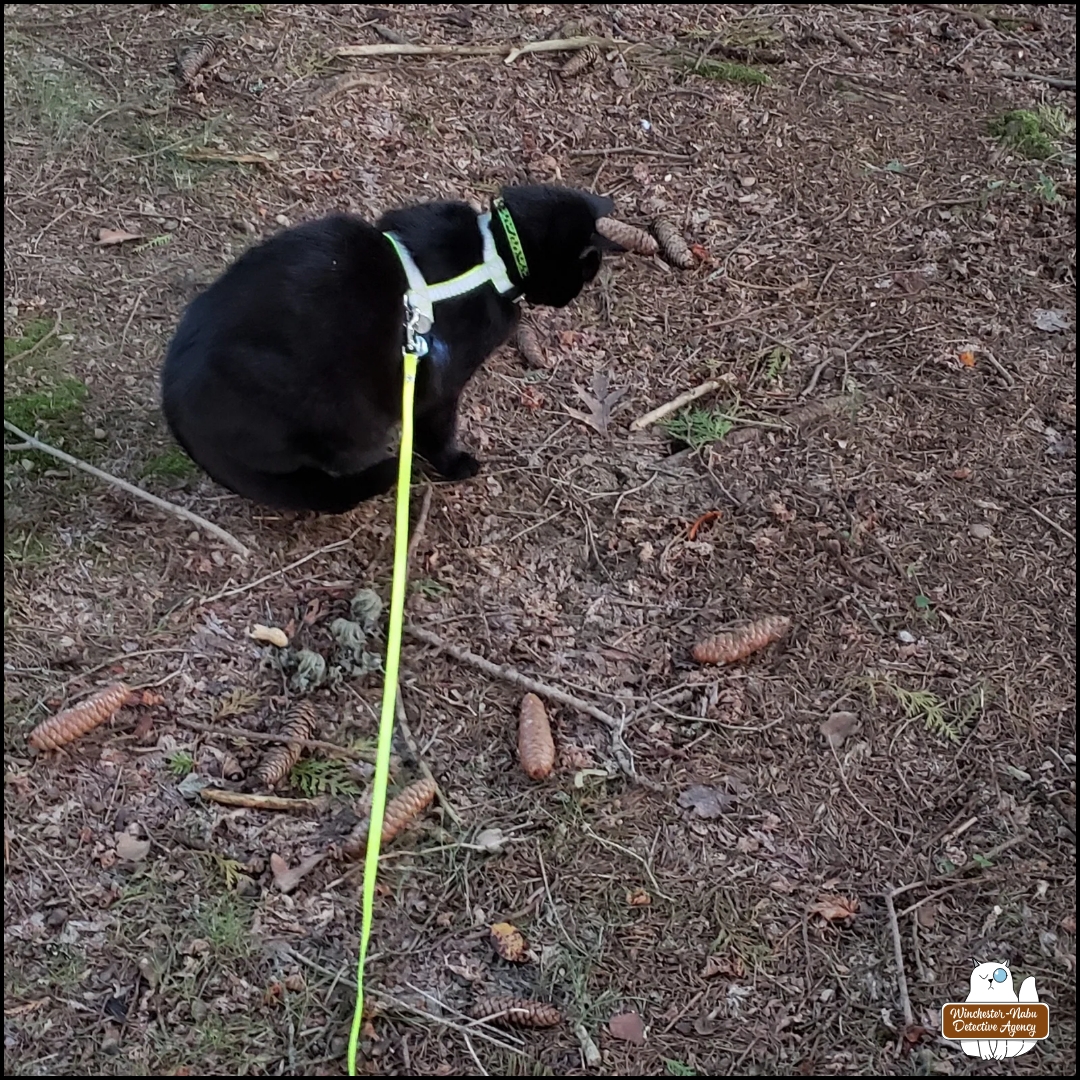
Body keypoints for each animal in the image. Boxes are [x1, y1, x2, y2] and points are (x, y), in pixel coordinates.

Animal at [160, 184, 616, 513]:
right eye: (584, 273)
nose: (573, 296)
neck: (493, 254)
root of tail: (174, 412)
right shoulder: (442, 384)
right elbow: (438, 432)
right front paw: (454, 465)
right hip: (328, 409)